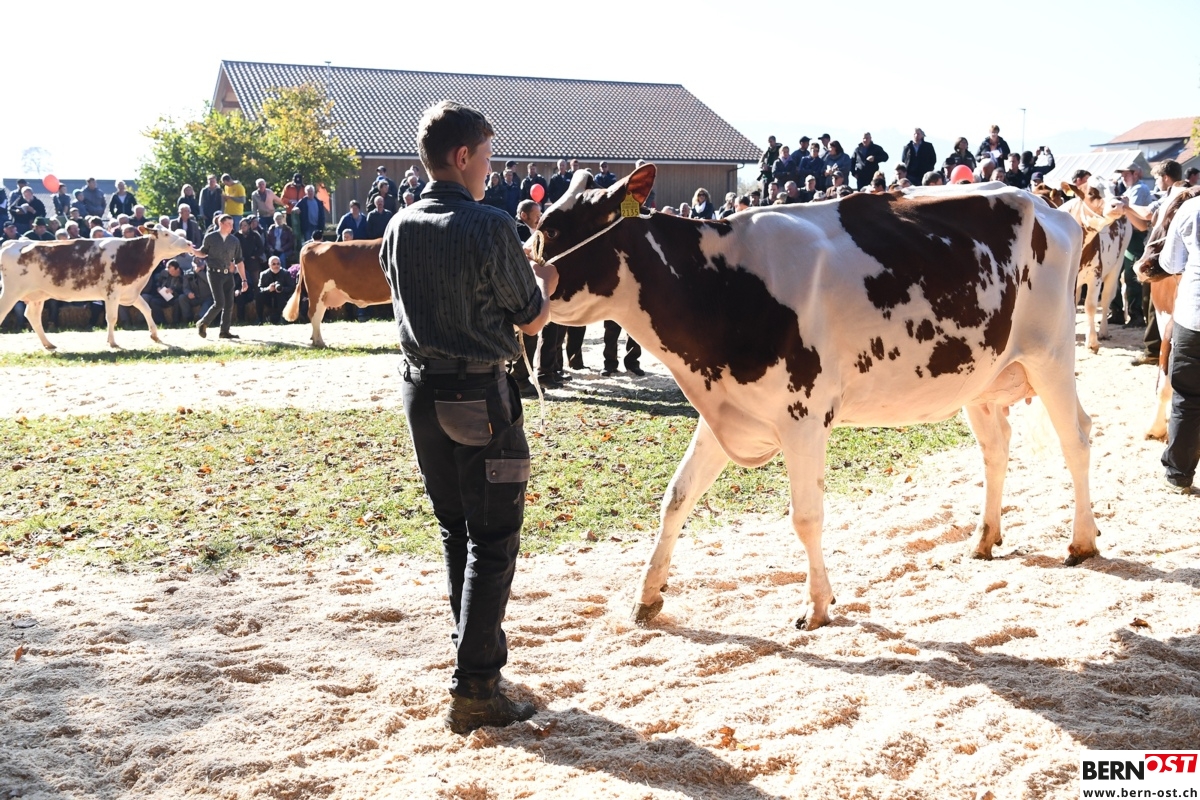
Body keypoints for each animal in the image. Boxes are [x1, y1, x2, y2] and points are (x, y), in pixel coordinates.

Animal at [0, 225, 196, 350]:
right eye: (166, 235)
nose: (188, 243)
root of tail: (12, 243)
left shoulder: (129, 292)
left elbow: (147, 309)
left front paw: (155, 336)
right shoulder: (112, 292)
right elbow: (112, 317)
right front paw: (113, 342)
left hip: (37, 296)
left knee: (32, 317)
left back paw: (49, 344)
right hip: (11, 292)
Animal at [531, 165, 1099, 630]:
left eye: (551, 230)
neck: (723, 284)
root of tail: (1051, 207)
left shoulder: (802, 416)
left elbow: (805, 517)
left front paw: (817, 605)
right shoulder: (727, 410)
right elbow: (677, 496)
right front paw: (647, 597)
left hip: (1051, 355)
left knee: (1076, 439)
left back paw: (1082, 541)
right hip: (981, 377)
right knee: (996, 448)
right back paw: (984, 538)